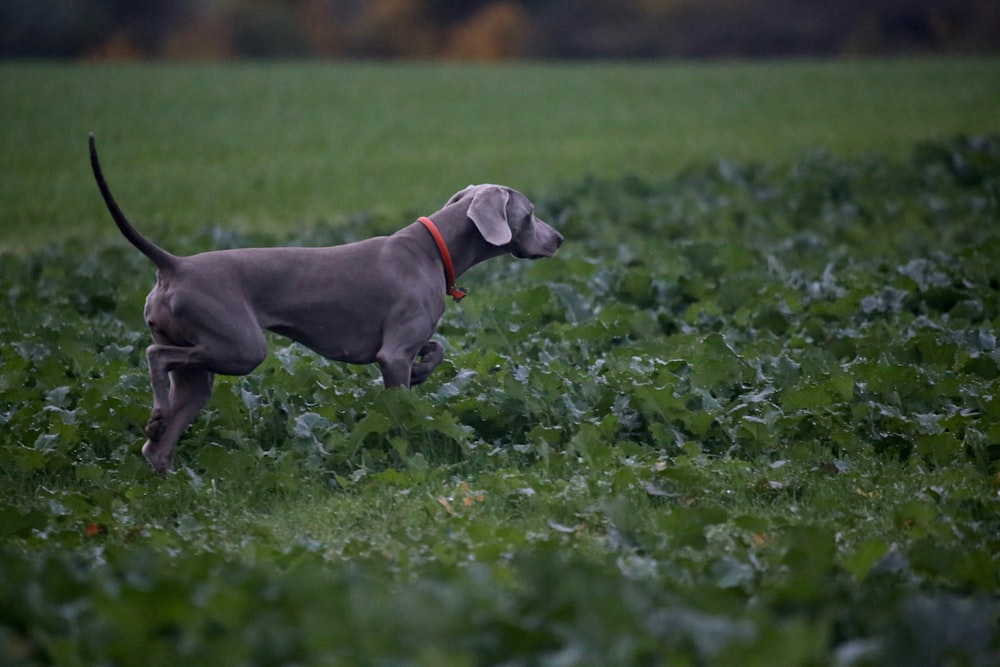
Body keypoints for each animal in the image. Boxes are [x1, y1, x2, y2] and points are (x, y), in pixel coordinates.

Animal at [88, 133, 564, 472]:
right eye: (531, 213)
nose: (559, 238)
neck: (432, 249)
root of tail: (175, 264)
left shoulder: (403, 343)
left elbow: (438, 348)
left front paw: (425, 370)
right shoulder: (392, 354)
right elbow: (400, 405)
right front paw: (407, 439)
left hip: (200, 370)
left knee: (159, 442)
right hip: (240, 347)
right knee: (156, 354)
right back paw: (156, 412)